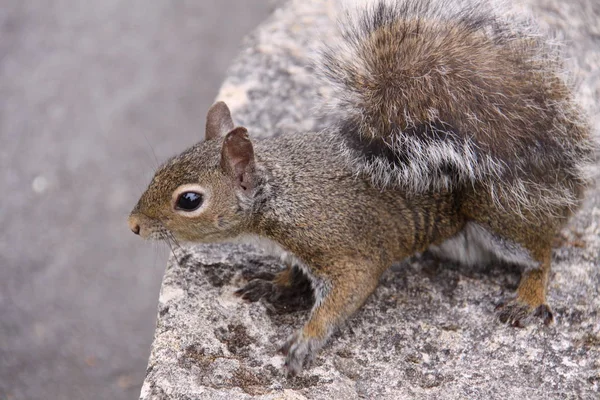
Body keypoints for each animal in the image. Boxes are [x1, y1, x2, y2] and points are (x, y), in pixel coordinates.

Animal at [129, 0, 592, 376]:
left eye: (190, 200)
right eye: (161, 169)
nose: (132, 225)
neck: (279, 196)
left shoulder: (339, 246)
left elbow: (349, 290)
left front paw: (306, 340)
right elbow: (293, 273)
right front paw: (274, 283)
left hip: (496, 218)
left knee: (542, 250)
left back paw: (528, 295)